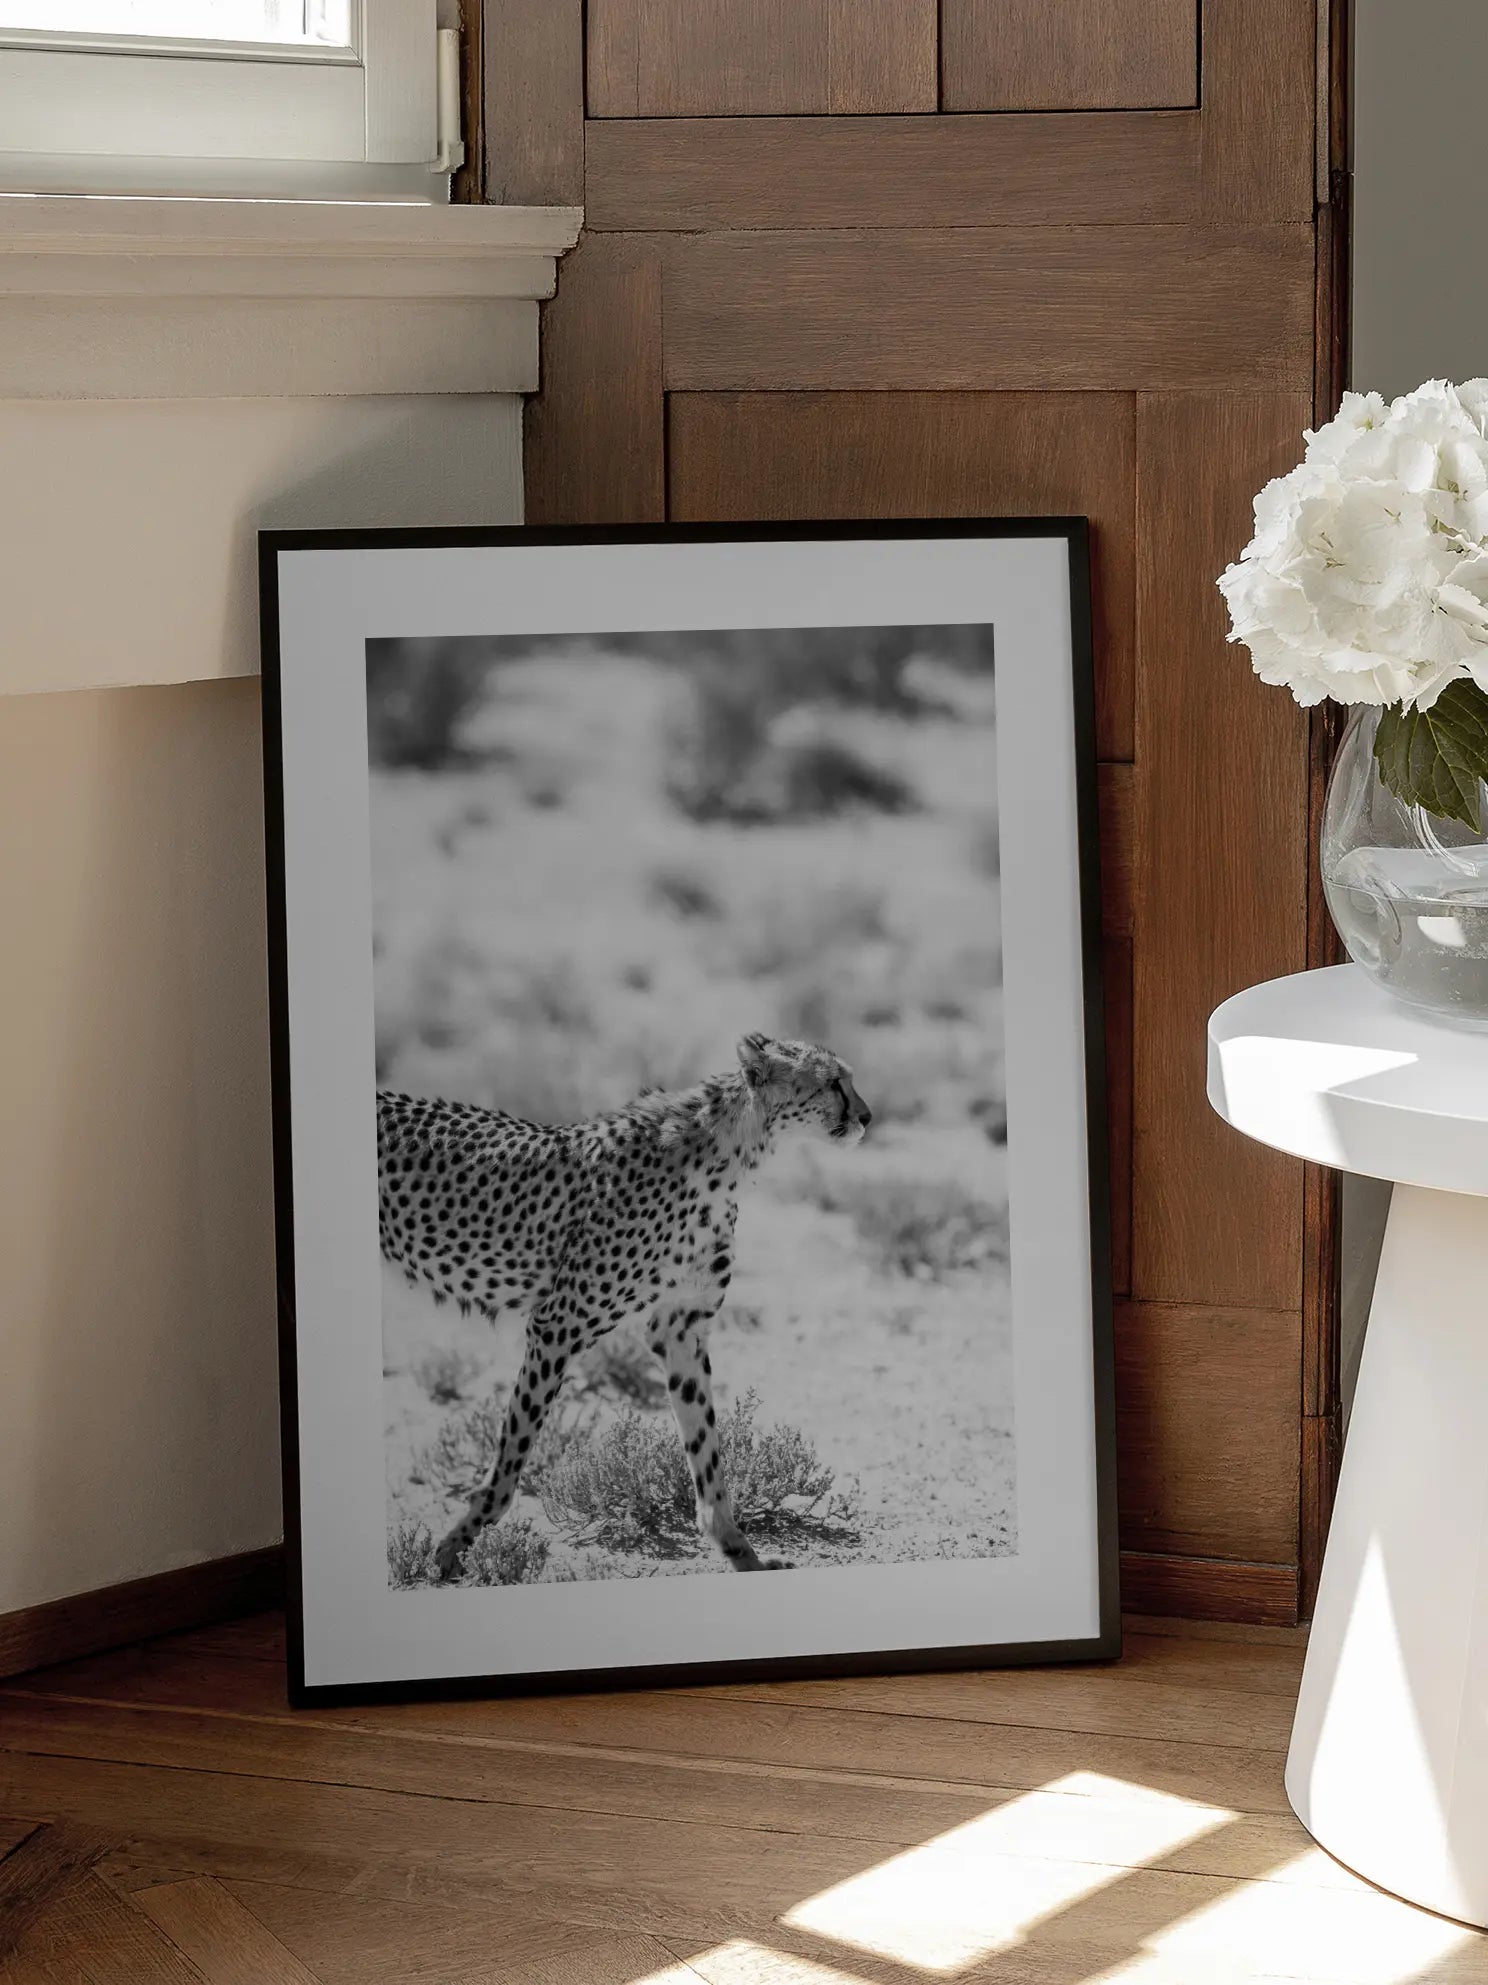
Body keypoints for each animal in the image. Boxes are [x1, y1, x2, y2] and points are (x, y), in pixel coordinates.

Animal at [379, 1031, 872, 1581]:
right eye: (833, 1082)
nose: (868, 1117)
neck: (729, 1154)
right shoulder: (557, 1324)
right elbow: (512, 1455)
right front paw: (455, 1547)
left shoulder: (680, 1329)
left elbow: (706, 1446)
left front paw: (740, 1551)